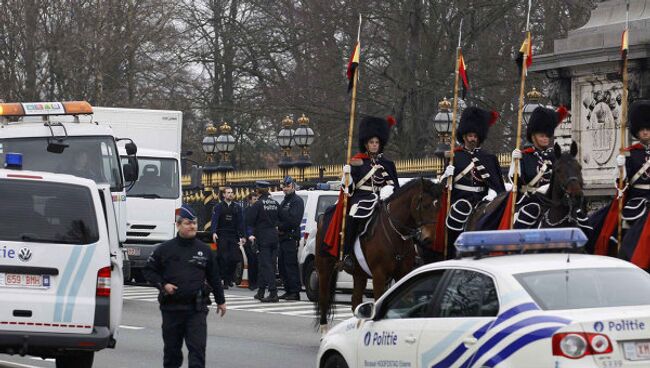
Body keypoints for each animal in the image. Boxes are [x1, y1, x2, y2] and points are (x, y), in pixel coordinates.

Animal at [312, 177, 440, 332]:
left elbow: (406, 300)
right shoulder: (379, 275)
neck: (395, 233)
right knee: (323, 298)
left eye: (439, 206)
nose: (430, 239)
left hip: (359, 273)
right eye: (425, 205)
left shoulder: (404, 273)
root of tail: (323, 217)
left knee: (356, 301)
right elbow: (378, 300)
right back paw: (324, 330)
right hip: (324, 267)